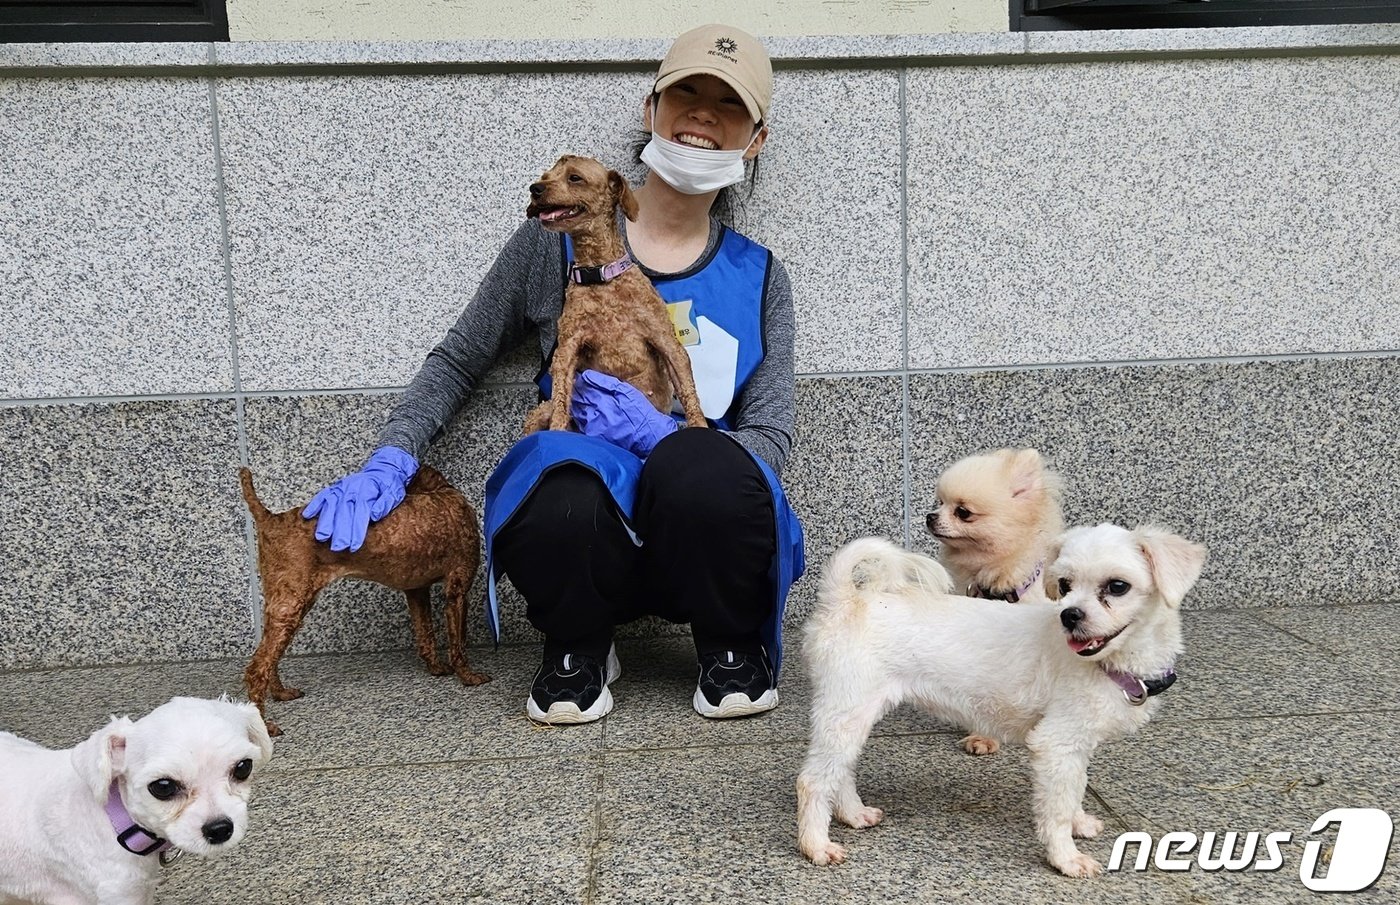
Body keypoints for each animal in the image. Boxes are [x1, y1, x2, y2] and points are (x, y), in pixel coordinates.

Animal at [800, 523, 1204, 879]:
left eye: (1118, 586)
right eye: (1065, 585)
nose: (1069, 615)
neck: (1111, 662)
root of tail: (846, 600)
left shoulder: (1077, 744)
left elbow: (1073, 789)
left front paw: (1079, 823)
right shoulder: (1055, 744)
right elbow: (1056, 808)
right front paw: (1065, 858)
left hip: (853, 713)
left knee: (840, 770)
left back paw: (853, 815)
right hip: (847, 707)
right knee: (813, 780)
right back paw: (816, 845)